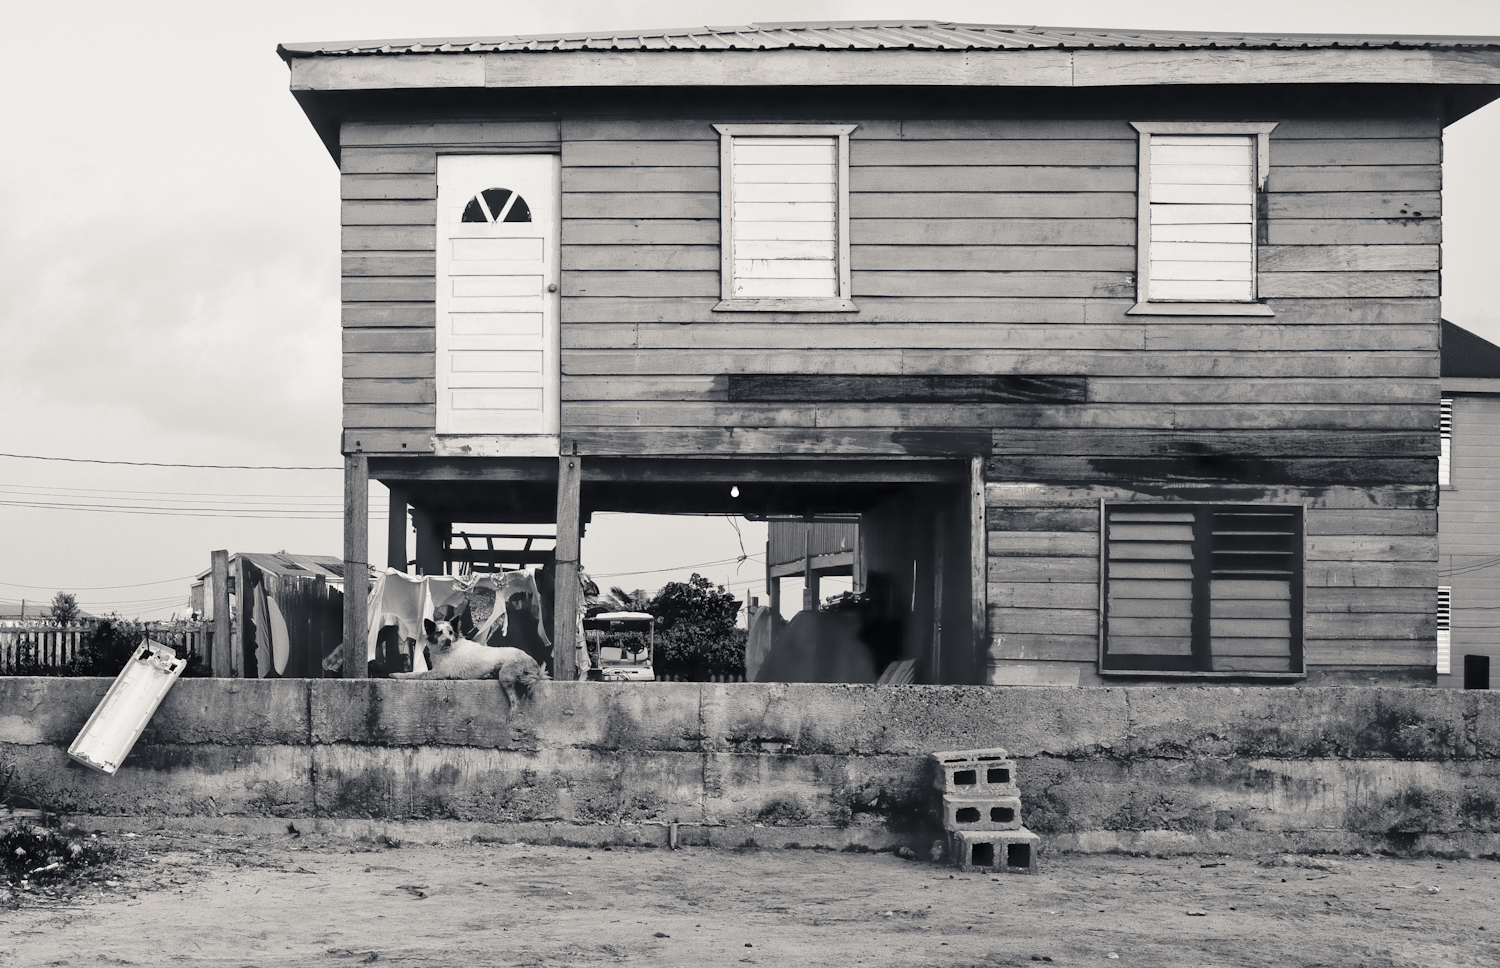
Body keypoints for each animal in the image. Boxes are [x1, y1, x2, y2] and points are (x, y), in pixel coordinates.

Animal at [387, 618, 552, 702]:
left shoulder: (438, 673)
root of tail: (536, 665)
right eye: (439, 633)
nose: (448, 641)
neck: (447, 650)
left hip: (507, 669)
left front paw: (395, 674)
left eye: (450, 633)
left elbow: (415, 673)